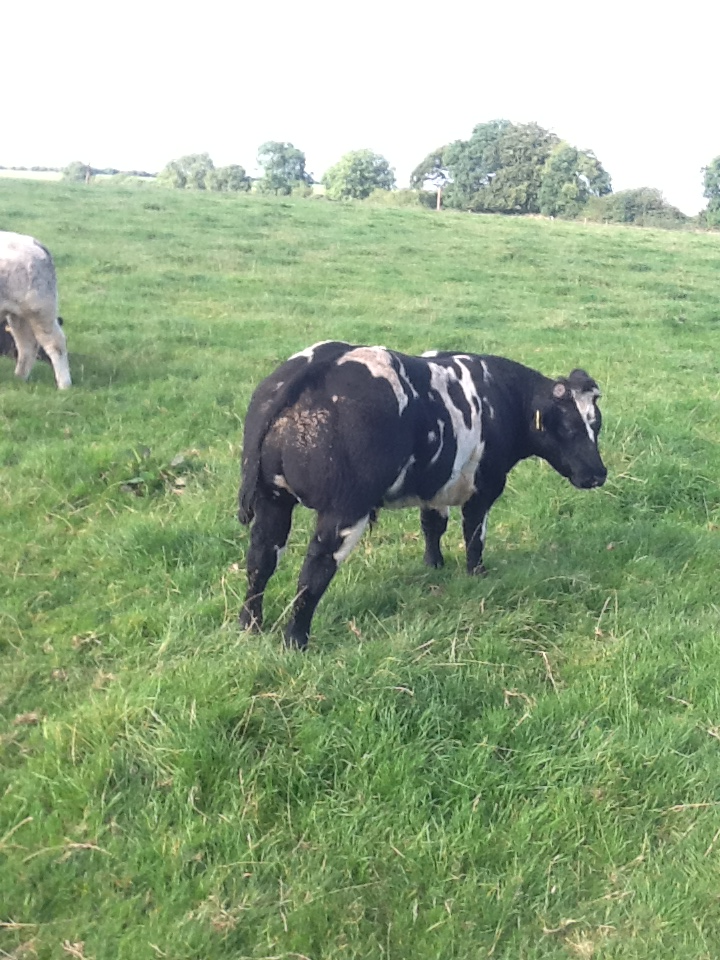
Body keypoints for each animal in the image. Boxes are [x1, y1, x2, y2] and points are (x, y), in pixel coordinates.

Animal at [0, 231, 71, 389]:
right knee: (27, 345)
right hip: (19, 314)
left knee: (55, 343)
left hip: (40, 311)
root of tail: (32, 242)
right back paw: (19, 378)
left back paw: (64, 385)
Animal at [238, 341, 607, 649]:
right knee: (314, 571)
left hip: (272, 500)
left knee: (260, 559)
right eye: (570, 427)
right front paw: (477, 574)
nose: (599, 473)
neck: (500, 397)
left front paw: (434, 565)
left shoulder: (435, 486)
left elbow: (432, 526)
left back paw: (249, 626)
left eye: (597, 424)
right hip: (343, 511)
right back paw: (295, 639)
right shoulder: (484, 487)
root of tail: (325, 358)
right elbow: (474, 535)